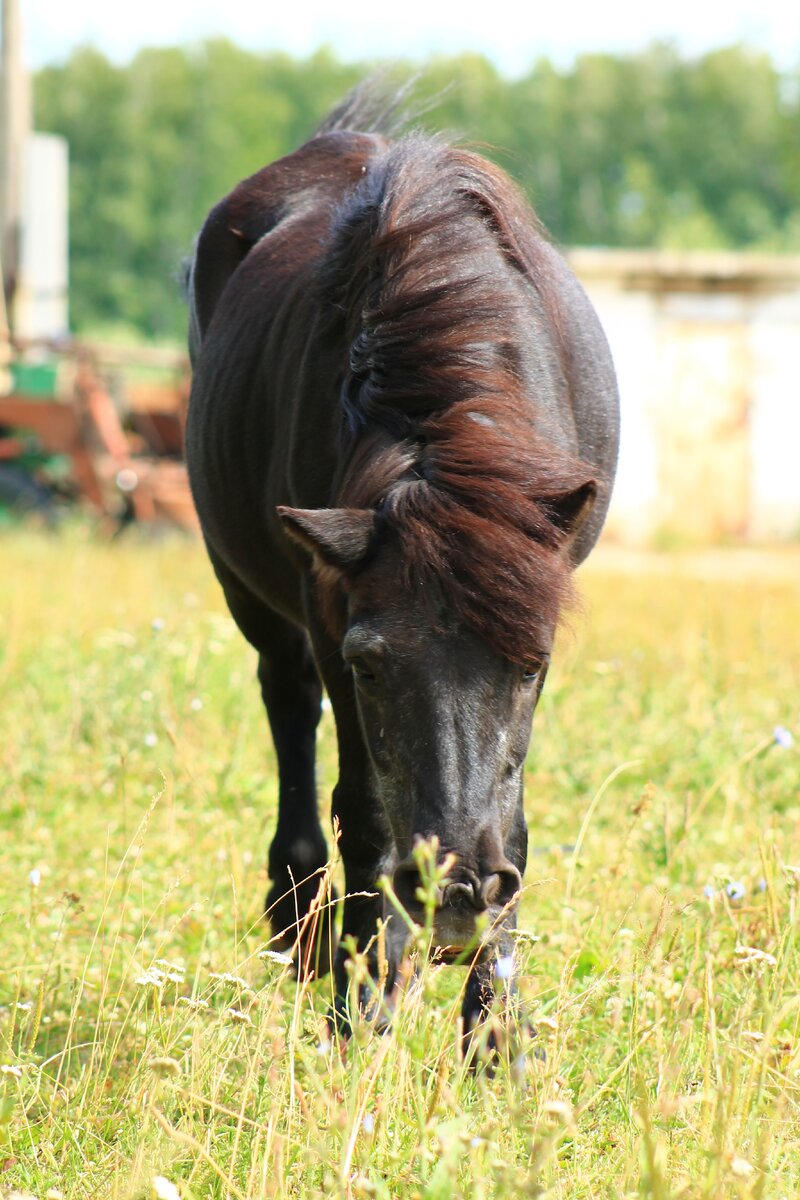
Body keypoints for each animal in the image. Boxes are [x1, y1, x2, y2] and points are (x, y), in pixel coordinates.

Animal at [185, 83, 620, 1041]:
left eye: (531, 666)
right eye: (372, 667)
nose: (455, 895)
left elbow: (513, 817)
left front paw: (495, 1033)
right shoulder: (330, 614)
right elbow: (364, 809)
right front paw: (363, 1008)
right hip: (250, 595)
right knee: (288, 705)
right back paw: (302, 926)